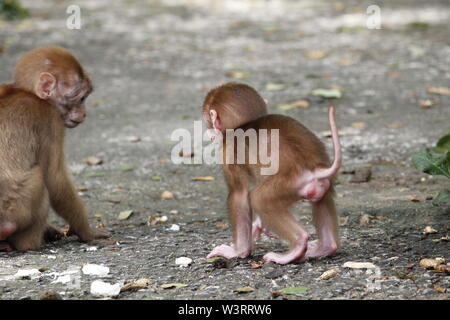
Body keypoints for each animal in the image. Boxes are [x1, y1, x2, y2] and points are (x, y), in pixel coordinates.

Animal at [201, 81, 342, 264]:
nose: (210, 135)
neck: (244, 124)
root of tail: (313, 170)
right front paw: (257, 226)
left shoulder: (229, 150)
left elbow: (239, 195)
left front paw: (238, 252)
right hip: (323, 184)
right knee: (322, 199)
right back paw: (325, 248)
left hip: (288, 184)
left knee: (259, 199)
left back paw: (296, 247)